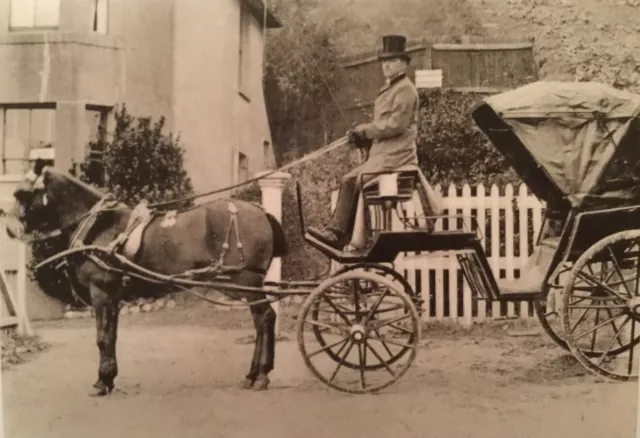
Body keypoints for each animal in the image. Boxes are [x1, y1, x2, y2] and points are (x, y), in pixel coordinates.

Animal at [6, 159, 288, 396]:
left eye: (21, 194)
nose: (9, 230)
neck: (98, 226)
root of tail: (261, 211)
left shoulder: (101, 294)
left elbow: (102, 338)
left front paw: (101, 381)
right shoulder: (114, 297)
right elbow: (111, 337)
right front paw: (109, 378)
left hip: (244, 281)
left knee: (265, 318)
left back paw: (261, 375)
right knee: (262, 320)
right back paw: (253, 374)